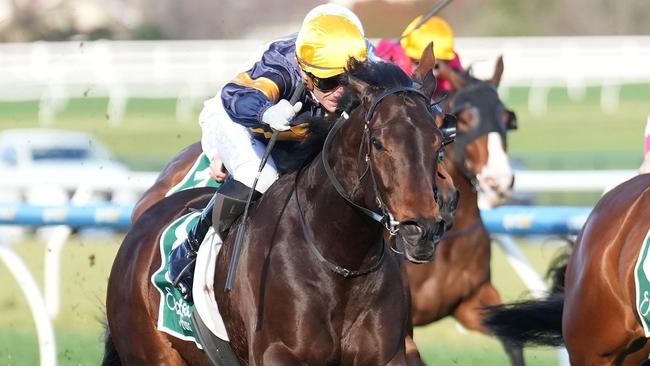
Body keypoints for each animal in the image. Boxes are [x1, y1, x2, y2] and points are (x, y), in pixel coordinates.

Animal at [106, 60, 450, 366]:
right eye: (378, 143)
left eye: (439, 142)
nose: (421, 230)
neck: (341, 260)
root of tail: (141, 225)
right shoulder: (278, 354)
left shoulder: (388, 355)